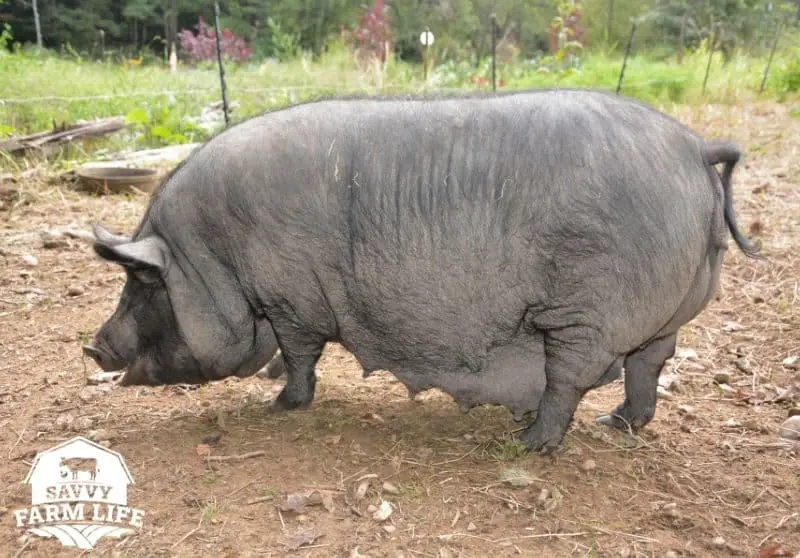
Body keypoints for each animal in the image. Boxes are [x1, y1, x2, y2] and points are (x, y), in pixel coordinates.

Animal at [83, 89, 760, 453]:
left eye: (141, 285)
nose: (92, 347)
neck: (210, 256)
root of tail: (694, 147)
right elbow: (290, 352)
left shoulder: (292, 297)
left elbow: (301, 354)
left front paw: (280, 405)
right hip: (671, 309)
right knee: (650, 362)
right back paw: (617, 423)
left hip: (584, 311)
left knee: (570, 378)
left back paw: (529, 442)